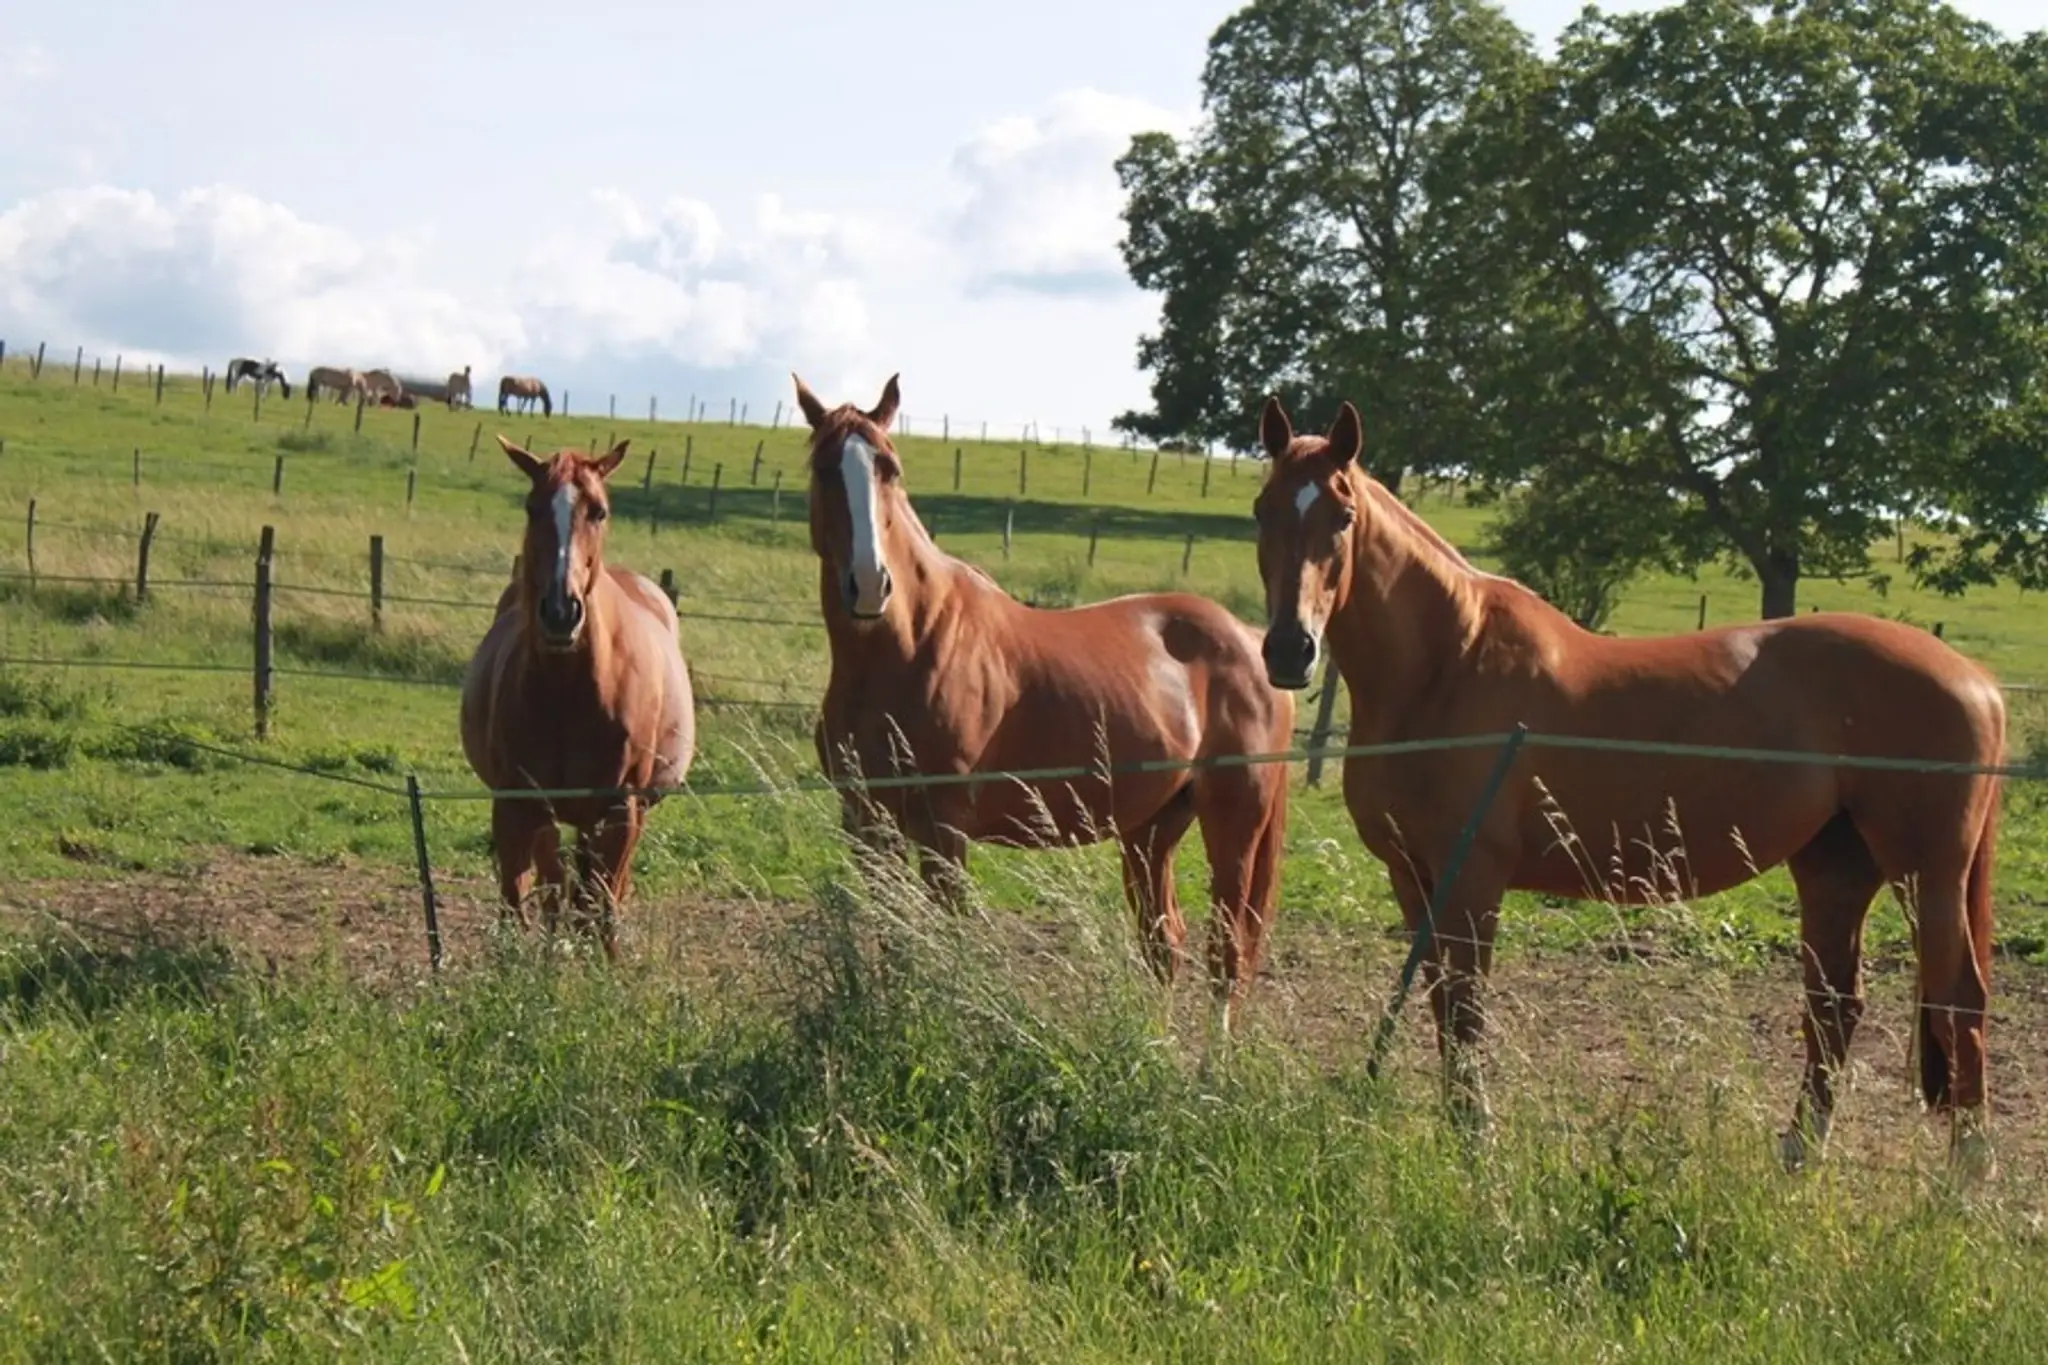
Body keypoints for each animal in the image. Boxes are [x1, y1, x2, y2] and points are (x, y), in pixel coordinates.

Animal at [459, 437, 697, 962]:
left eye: (599, 511)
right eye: (531, 508)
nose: (560, 612)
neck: (572, 692)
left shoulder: (621, 810)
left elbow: (601, 904)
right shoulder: (517, 803)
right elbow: (521, 898)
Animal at [797, 373, 1295, 1033]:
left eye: (890, 468)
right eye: (825, 468)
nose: (870, 584)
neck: (907, 646)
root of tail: (1250, 640)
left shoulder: (943, 826)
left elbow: (942, 939)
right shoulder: (864, 820)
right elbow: (894, 934)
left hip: (1234, 823)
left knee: (1228, 953)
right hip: (1152, 829)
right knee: (1165, 943)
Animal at [1249, 395, 2005, 1177]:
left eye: (1342, 515)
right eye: (1262, 510)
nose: (1290, 650)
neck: (1449, 662)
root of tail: (1977, 679)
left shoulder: (1473, 879)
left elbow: (1467, 1005)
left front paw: (1476, 1140)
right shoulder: (1414, 875)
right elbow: (1440, 1003)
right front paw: (1462, 1131)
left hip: (1925, 872)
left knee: (1959, 997)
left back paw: (1967, 1171)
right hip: (1835, 868)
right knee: (1835, 1004)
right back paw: (1799, 1153)